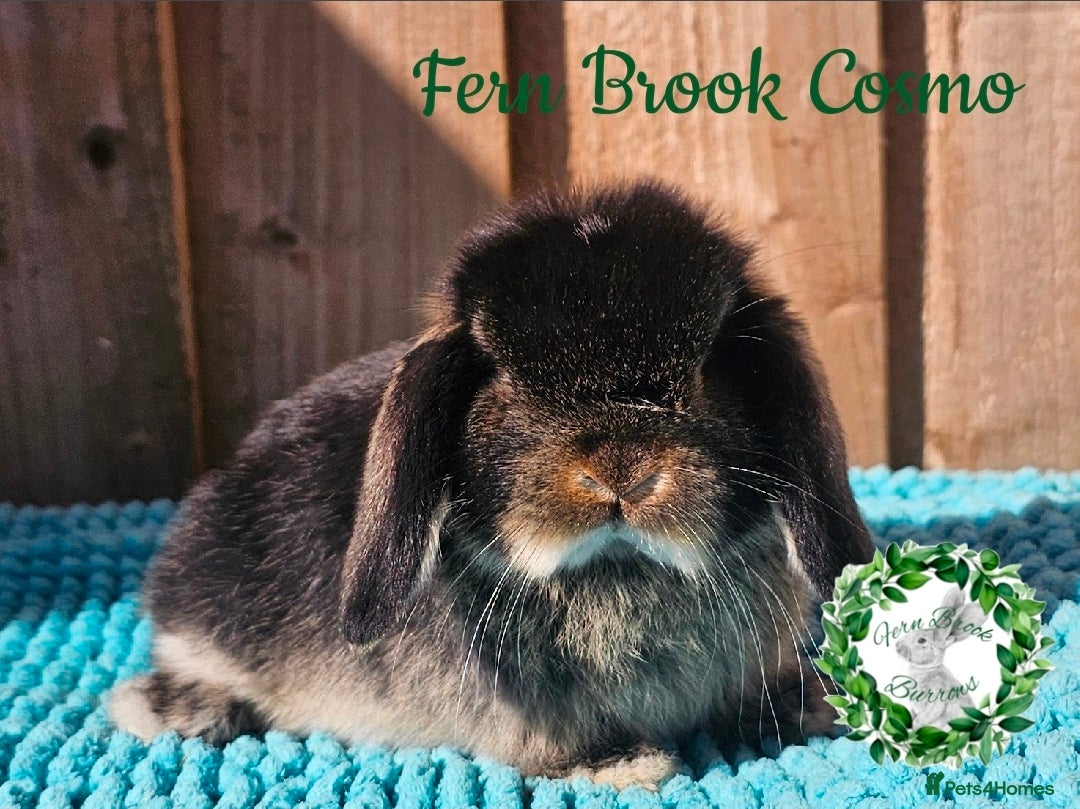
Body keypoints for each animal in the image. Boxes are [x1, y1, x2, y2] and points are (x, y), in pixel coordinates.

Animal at [109, 181, 872, 789]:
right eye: (504, 379)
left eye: (710, 367)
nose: (620, 469)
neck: (618, 568)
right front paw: (626, 766)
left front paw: (817, 705)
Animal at [894, 587, 990, 727]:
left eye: (922, 640)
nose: (897, 646)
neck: (927, 669)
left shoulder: (936, 696)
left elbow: (930, 713)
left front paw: (916, 726)